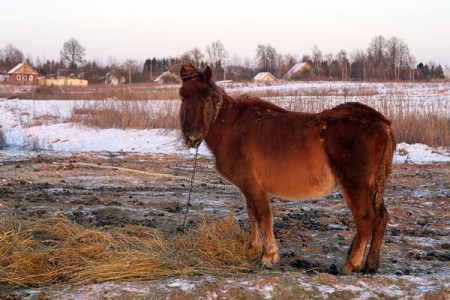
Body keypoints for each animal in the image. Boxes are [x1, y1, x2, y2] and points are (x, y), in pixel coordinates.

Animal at [178, 65, 396, 274]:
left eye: (207, 98)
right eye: (182, 97)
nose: (192, 138)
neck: (232, 127)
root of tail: (382, 124)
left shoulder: (251, 183)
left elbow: (262, 215)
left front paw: (269, 256)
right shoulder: (249, 185)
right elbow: (252, 214)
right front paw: (254, 249)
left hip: (354, 185)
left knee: (365, 220)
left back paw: (351, 264)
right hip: (372, 185)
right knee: (380, 217)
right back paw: (370, 265)